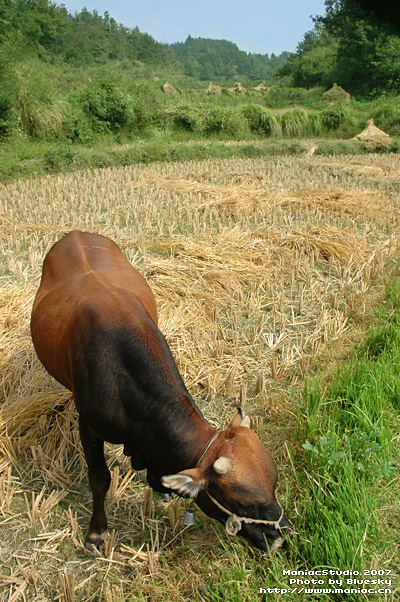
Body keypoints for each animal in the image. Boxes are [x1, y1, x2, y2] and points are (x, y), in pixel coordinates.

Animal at [29, 230, 290, 548]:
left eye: (274, 486)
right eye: (244, 504)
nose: (281, 538)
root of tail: (77, 233)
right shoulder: (89, 427)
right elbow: (99, 478)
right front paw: (96, 532)